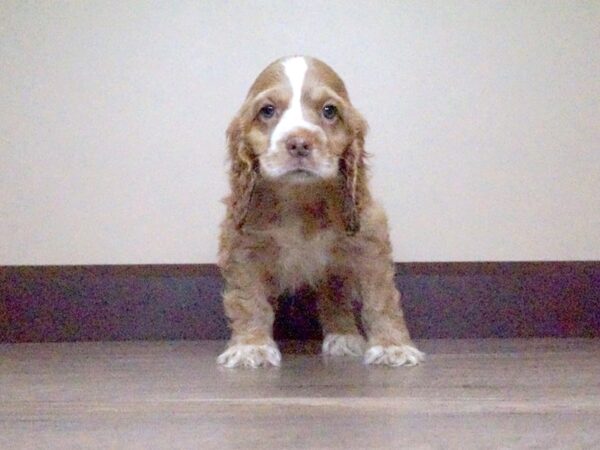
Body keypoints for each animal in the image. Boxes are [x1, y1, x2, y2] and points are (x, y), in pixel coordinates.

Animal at [218, 55, 424, 370]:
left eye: (329, 110)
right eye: (267, 110)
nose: (299, 143)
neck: (301, 197)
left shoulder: (369, 239)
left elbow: (380, 298)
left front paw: (392, 346)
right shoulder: (243, 245)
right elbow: (249, 299)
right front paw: (251, 346)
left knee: (334, 296)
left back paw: (343, 335)